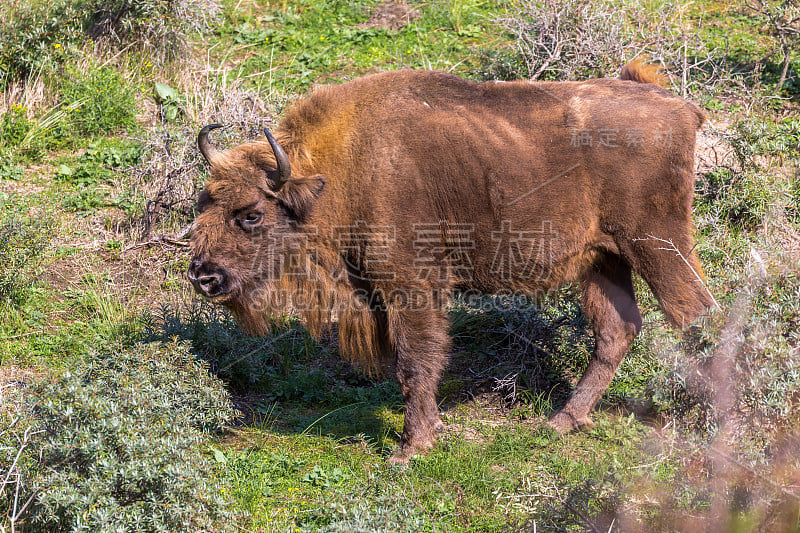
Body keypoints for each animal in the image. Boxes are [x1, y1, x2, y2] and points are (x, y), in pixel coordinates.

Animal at [188, 62, 712, 462]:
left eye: (251, 214)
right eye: (203, 203)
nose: (203, 276)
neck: (339, 171)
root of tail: (680, 106)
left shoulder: (410, 288)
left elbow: (415, 362)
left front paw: (411, 448)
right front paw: (432, 431)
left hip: (657, 245)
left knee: (696, 314)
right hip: (604, 260)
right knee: (617, 330)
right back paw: (561, 422)